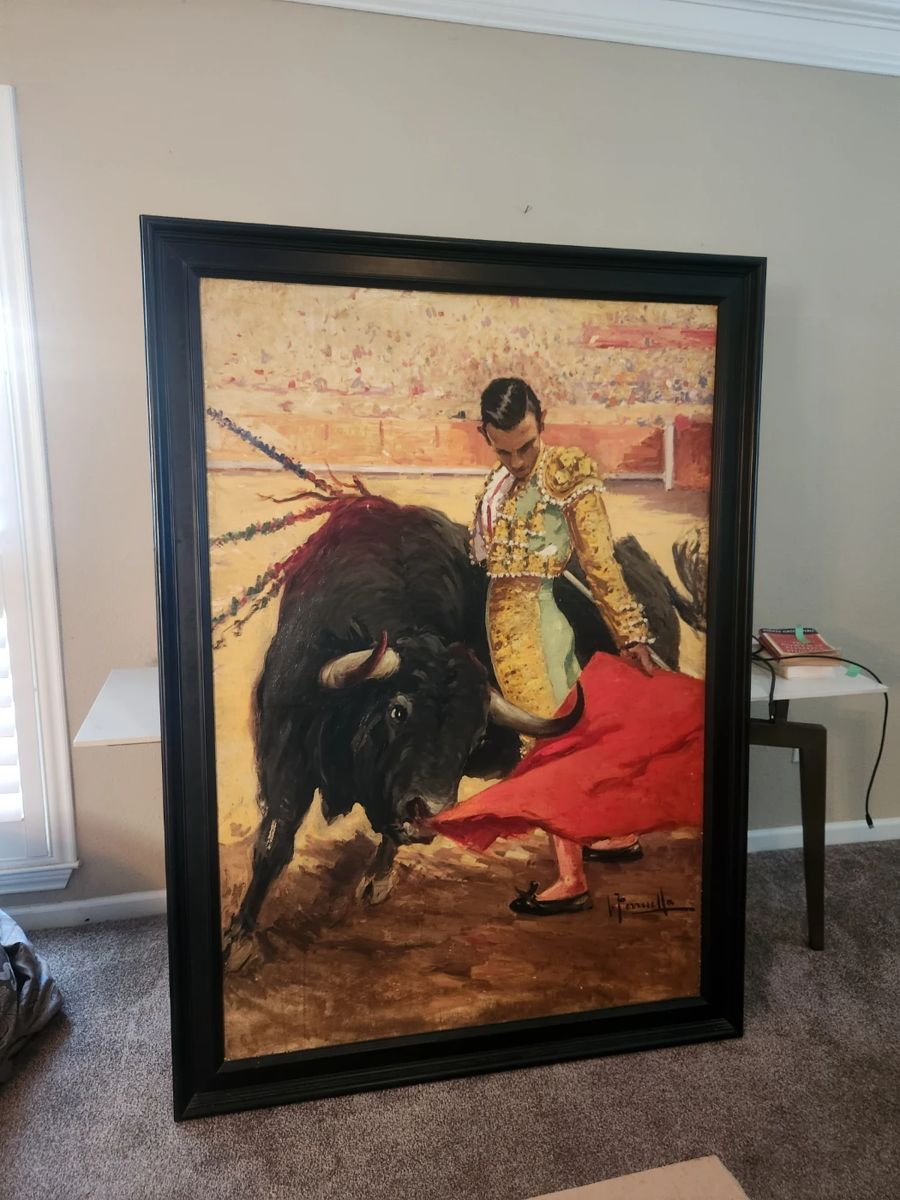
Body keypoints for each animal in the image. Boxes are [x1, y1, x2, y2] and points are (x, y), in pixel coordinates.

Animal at [222, 495, 704, 969]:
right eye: (397, 711)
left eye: (475, 737)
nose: (431, 812)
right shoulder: (285, 756)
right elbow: (275, 843)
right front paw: (240, 938)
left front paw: (374, 880)